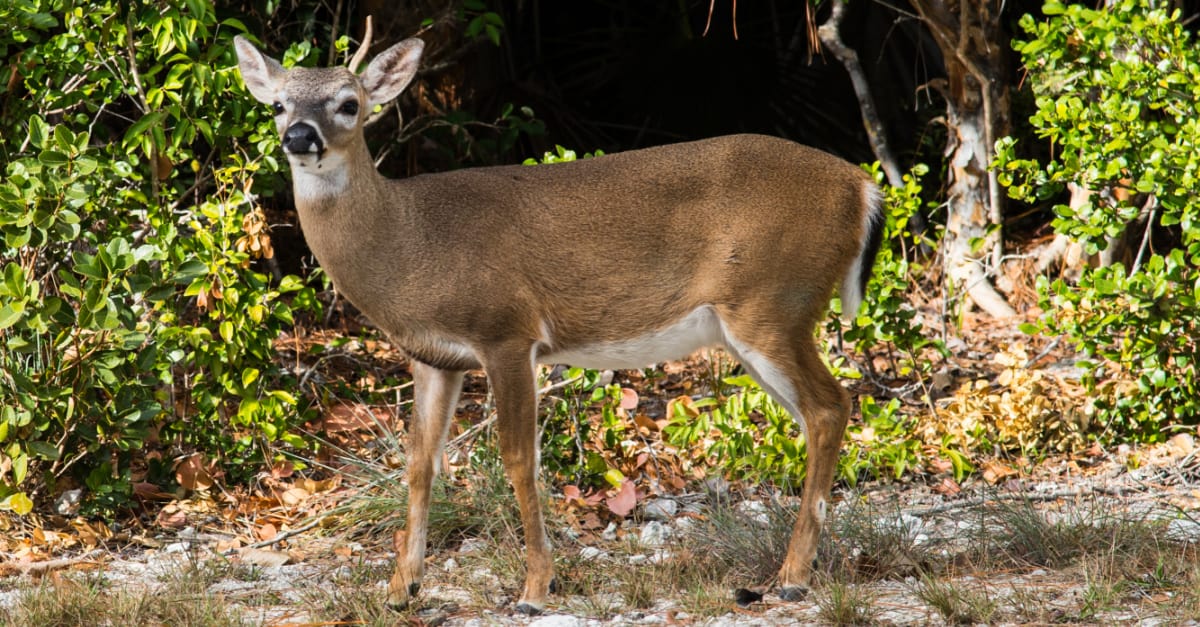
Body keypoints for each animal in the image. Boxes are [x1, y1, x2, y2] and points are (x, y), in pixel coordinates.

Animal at [234, 21, 884, 615]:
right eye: (277, 104)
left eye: (349, 103)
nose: (299, 136)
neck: (409, 241)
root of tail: (863, 186)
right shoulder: (434, 357)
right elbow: (419, 465)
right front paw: (401, 589)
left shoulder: (506, 330)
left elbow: (520, 460)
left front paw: (534, 589)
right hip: (763, 319)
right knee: (818, 414)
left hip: (770, 302)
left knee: (830, 406)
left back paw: (793, 578)